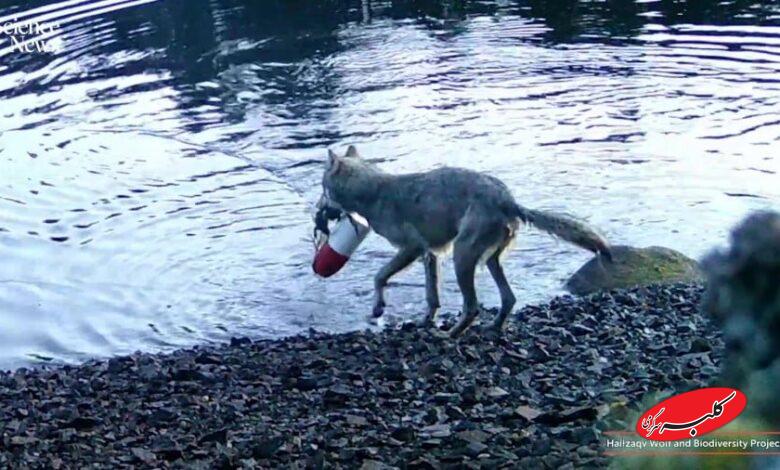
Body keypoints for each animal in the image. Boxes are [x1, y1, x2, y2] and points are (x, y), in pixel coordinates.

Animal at [318, 145, 611, 337]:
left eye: (323, 189)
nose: (319, 211)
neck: (373, 191)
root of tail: (509, 201)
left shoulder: (411, 249)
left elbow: (379, 276)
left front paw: (378, 309)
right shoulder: (429, 255)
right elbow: (432, 297)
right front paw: (426, 320)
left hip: (462, 257)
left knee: (472, 307)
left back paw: (450, 335)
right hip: (488, 260)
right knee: (508, 299)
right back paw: (493, 328)